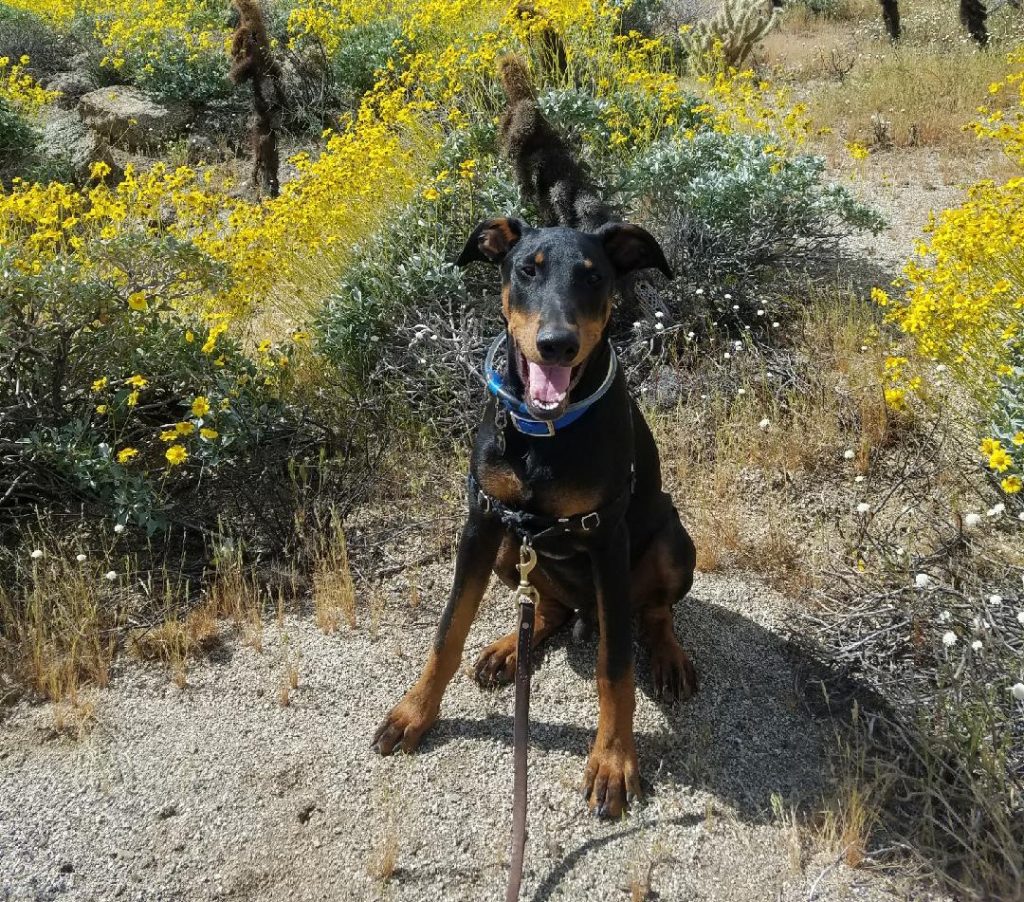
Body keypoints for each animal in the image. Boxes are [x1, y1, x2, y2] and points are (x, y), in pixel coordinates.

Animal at [372, 56, 700, 814]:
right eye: (526, 269)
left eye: (595, 277)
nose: (555, 345)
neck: (541, 432)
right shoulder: (480, 519)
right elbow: (446, 630)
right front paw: (415, 712)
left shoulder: (605, 534)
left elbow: (616, 667)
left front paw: (613, 761)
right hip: (511, 549)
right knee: (544, 609)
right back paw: (507, 649)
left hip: (671, 538)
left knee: (650, 616)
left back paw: (668, 658)